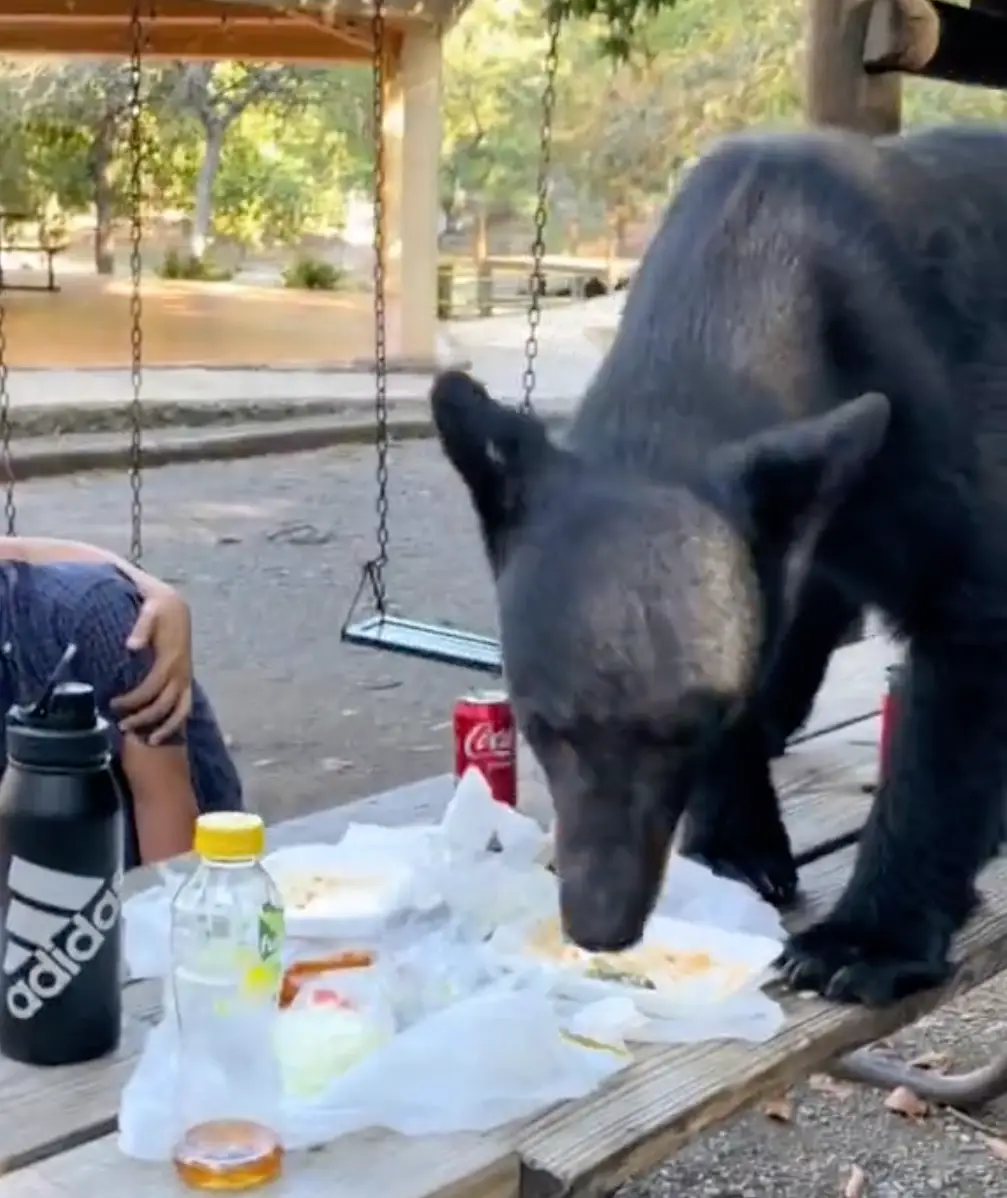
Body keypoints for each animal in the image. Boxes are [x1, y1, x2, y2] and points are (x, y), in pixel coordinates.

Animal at [430, 123, 1007, 1008]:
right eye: (539, 723)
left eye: (685, 729)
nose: (601, 924)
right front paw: (737, 838)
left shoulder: (926, 457)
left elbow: (959, 663)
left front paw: (867, 936)